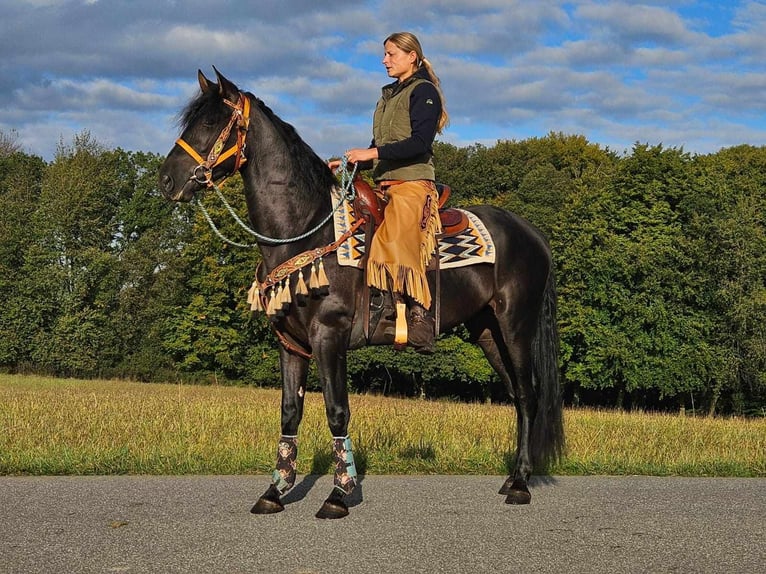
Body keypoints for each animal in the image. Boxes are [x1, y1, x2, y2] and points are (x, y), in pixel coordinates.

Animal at [159, 70, 564, 520]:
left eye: (211, 122)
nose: (166, 180)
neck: (308, 227)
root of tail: (533, 233)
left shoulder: (328, 336)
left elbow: (337, 412)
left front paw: (339, 494)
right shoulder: (291, 343)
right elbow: (289, 413)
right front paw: (275, 491)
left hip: (516, 326)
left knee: (528, 395)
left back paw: (522, 484)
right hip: (488, 331)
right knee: (516, 397)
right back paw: (512, 478)